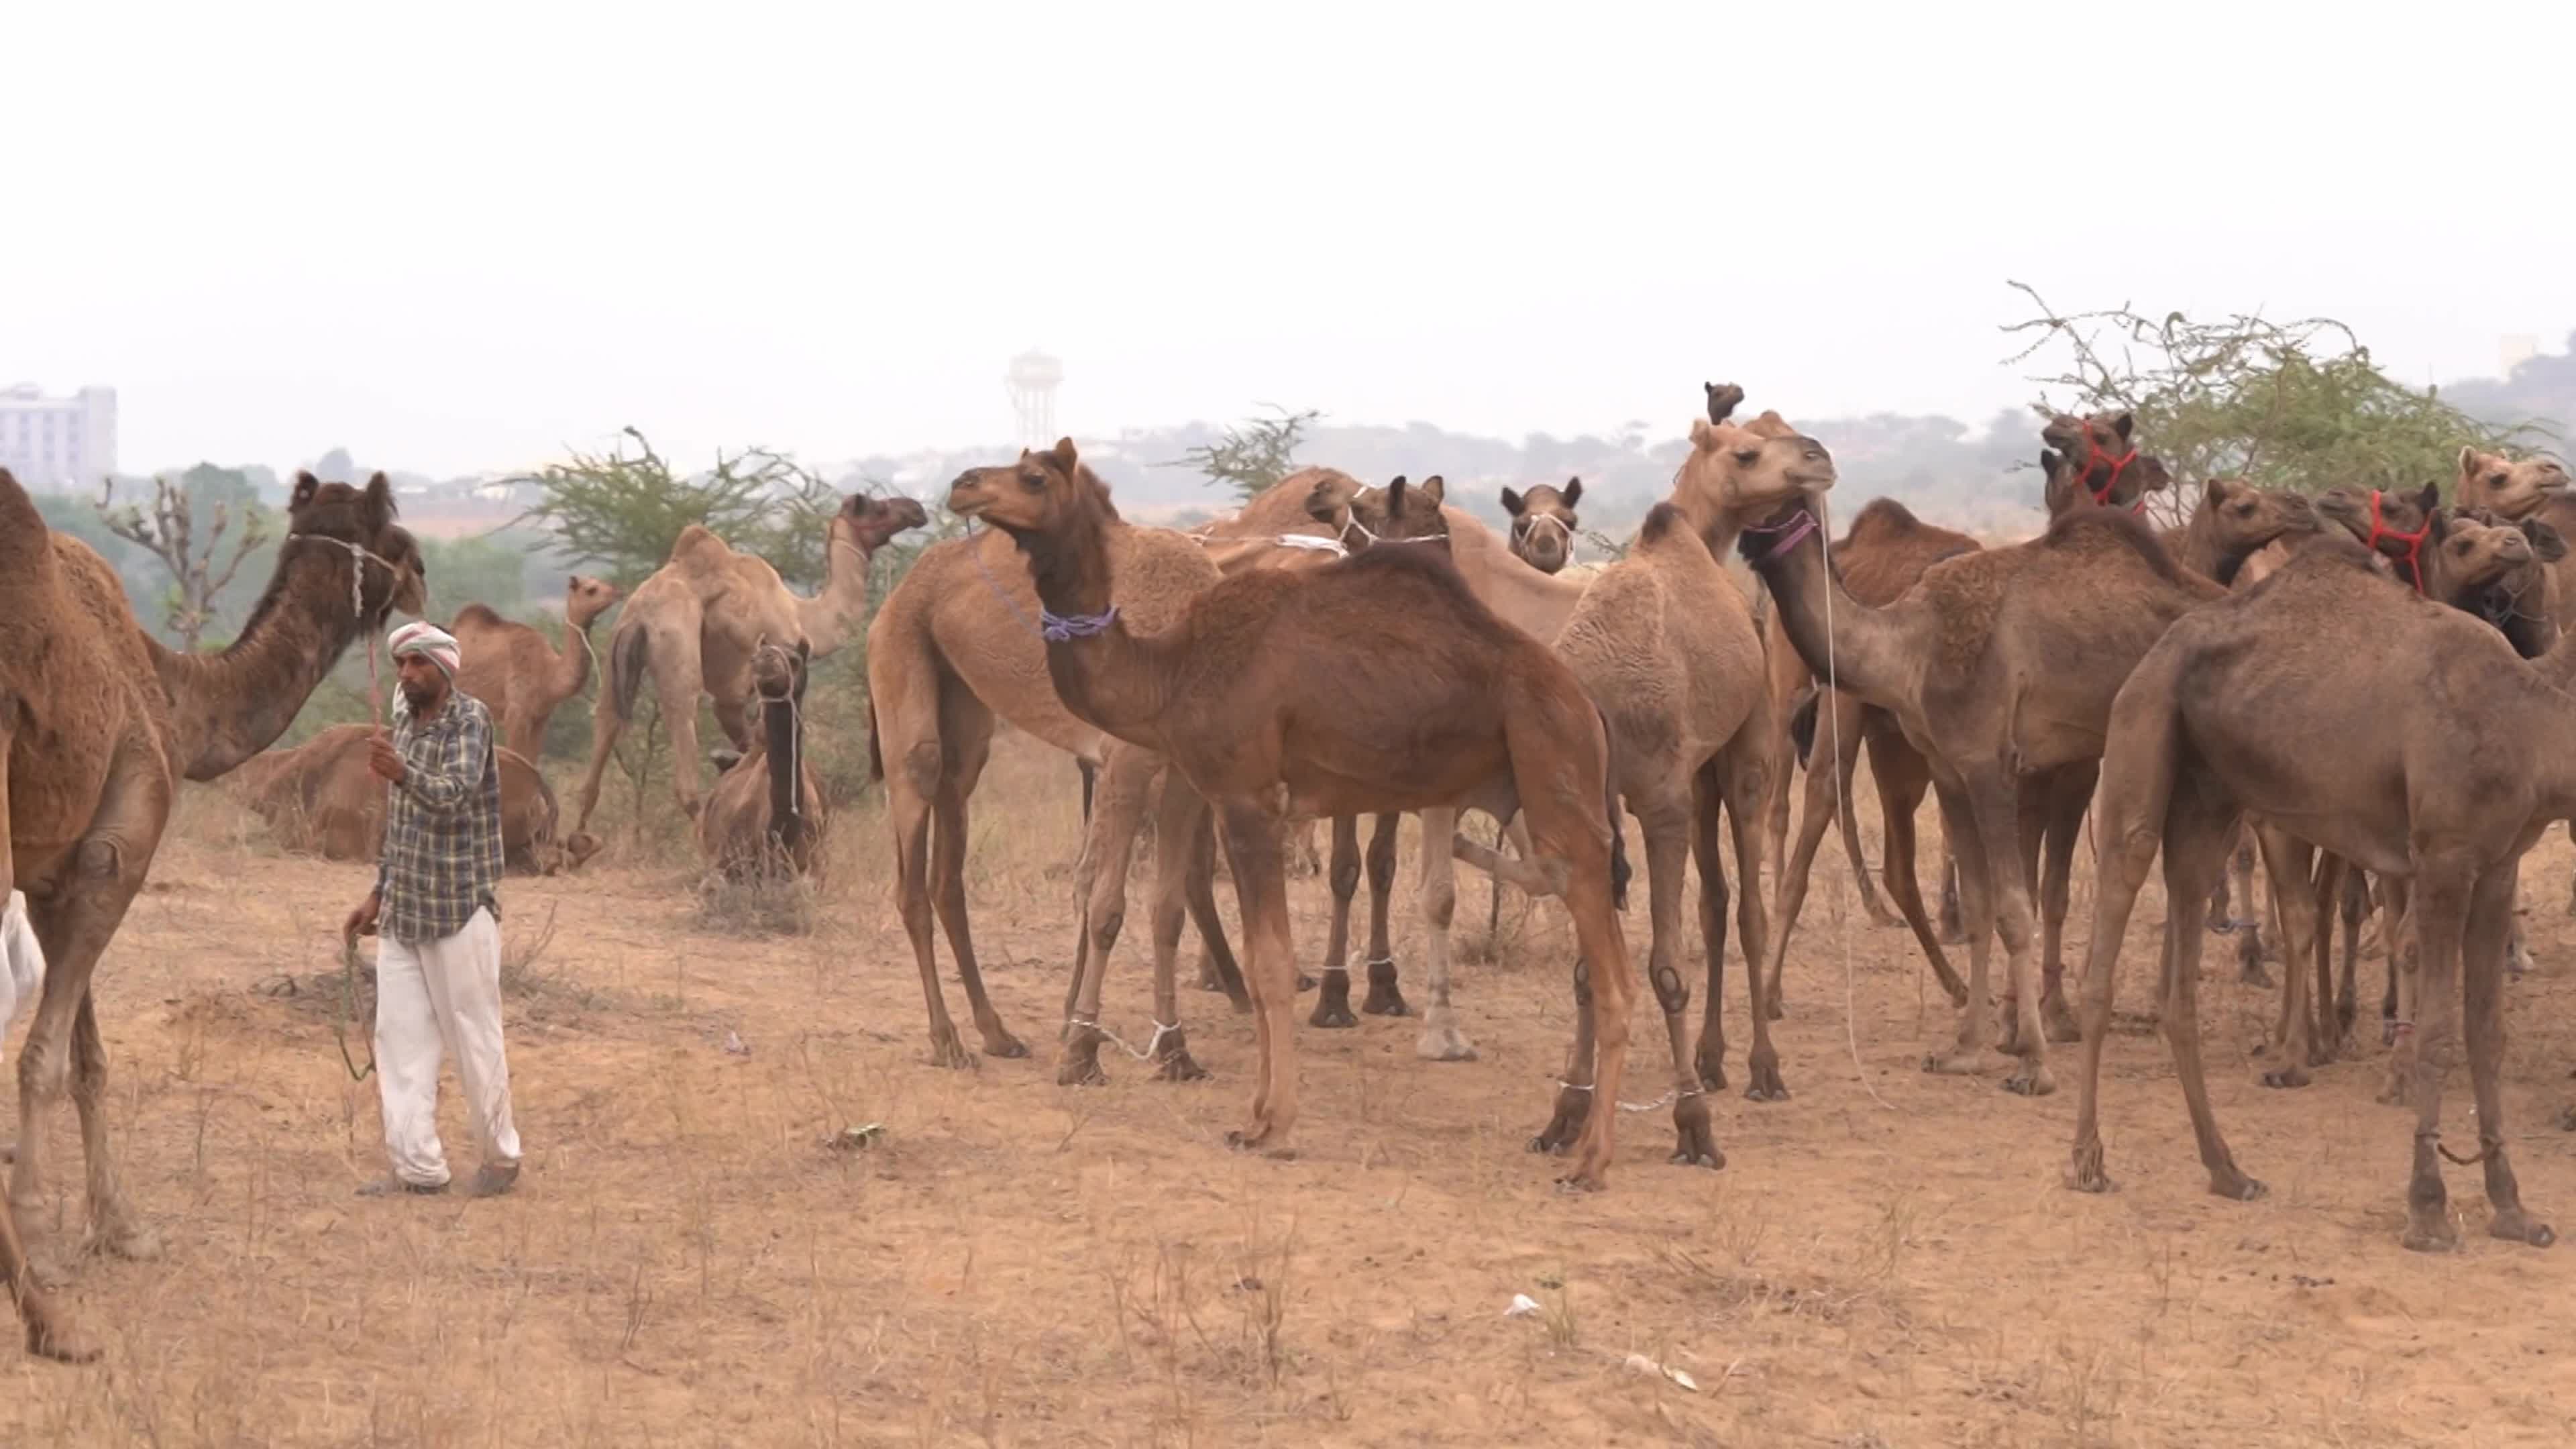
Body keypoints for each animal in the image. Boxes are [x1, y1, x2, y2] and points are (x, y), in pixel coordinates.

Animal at [0, 466, 426, 1361]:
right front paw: (53, 1244)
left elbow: (91, 1059)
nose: (422, 574)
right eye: (394, 534)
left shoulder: (60, 873)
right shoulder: (115, 854)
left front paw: (122, 1228)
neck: (170, 691)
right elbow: (49, 1058)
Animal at [449, 574, 623, 761]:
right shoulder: (516, 713)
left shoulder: (541, 718)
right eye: (591, 590)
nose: (618, 592)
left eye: (605, 583)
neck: (549, 673)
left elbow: (531, 760)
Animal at [567, 491, 926, 833]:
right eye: (875, 507)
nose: (916, 509)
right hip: (676, 646)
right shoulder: (761, 676)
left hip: (615, 651)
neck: (804, 616)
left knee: (602, 734)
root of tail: (642, 613)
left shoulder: (733, 697)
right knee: (684, 748)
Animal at [1737, 471, 2312, 1096]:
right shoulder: (1949, 769)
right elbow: (1982, 904)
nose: (1739, 541)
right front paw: (1966, 1047)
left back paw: (2291, 1045)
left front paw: (2033, 1061)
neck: (1909, 647)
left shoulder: (1991, 763)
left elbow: (2016, 907)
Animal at [2065, 530, 2576, 1252]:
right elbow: (2438, 1033)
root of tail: (2155, 653)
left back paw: (2228, 1170)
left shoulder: (2500, 864)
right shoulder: (2444, 861)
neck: (2533, 724)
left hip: (2208, 801)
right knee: (2111, 928)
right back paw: (2088, 1160)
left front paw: (2512, 1209)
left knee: (2178, 980)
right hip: (2141, 731)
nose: (2515, 548)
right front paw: (2427, 1210)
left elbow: (2487, 1032)